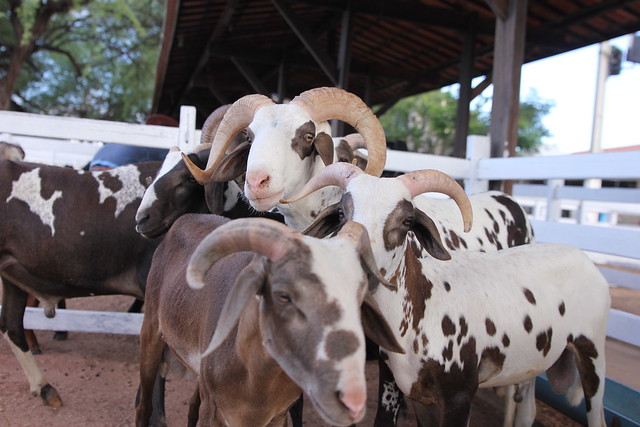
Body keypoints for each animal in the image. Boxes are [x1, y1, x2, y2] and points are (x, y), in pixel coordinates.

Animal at [137, 216, 402, 426]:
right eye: (283, 296)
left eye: (358, 294)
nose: (351, 395)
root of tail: (182, 220)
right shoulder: (212, 412)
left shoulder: (277, 416)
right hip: (150, 331)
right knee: (144, 407)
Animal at [284, 162, 608, 426]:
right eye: (341, 213)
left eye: (406, 221)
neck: (423, 310)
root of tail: (583, 258)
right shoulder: (410, 393)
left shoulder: (459, 396)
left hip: (593, 354)